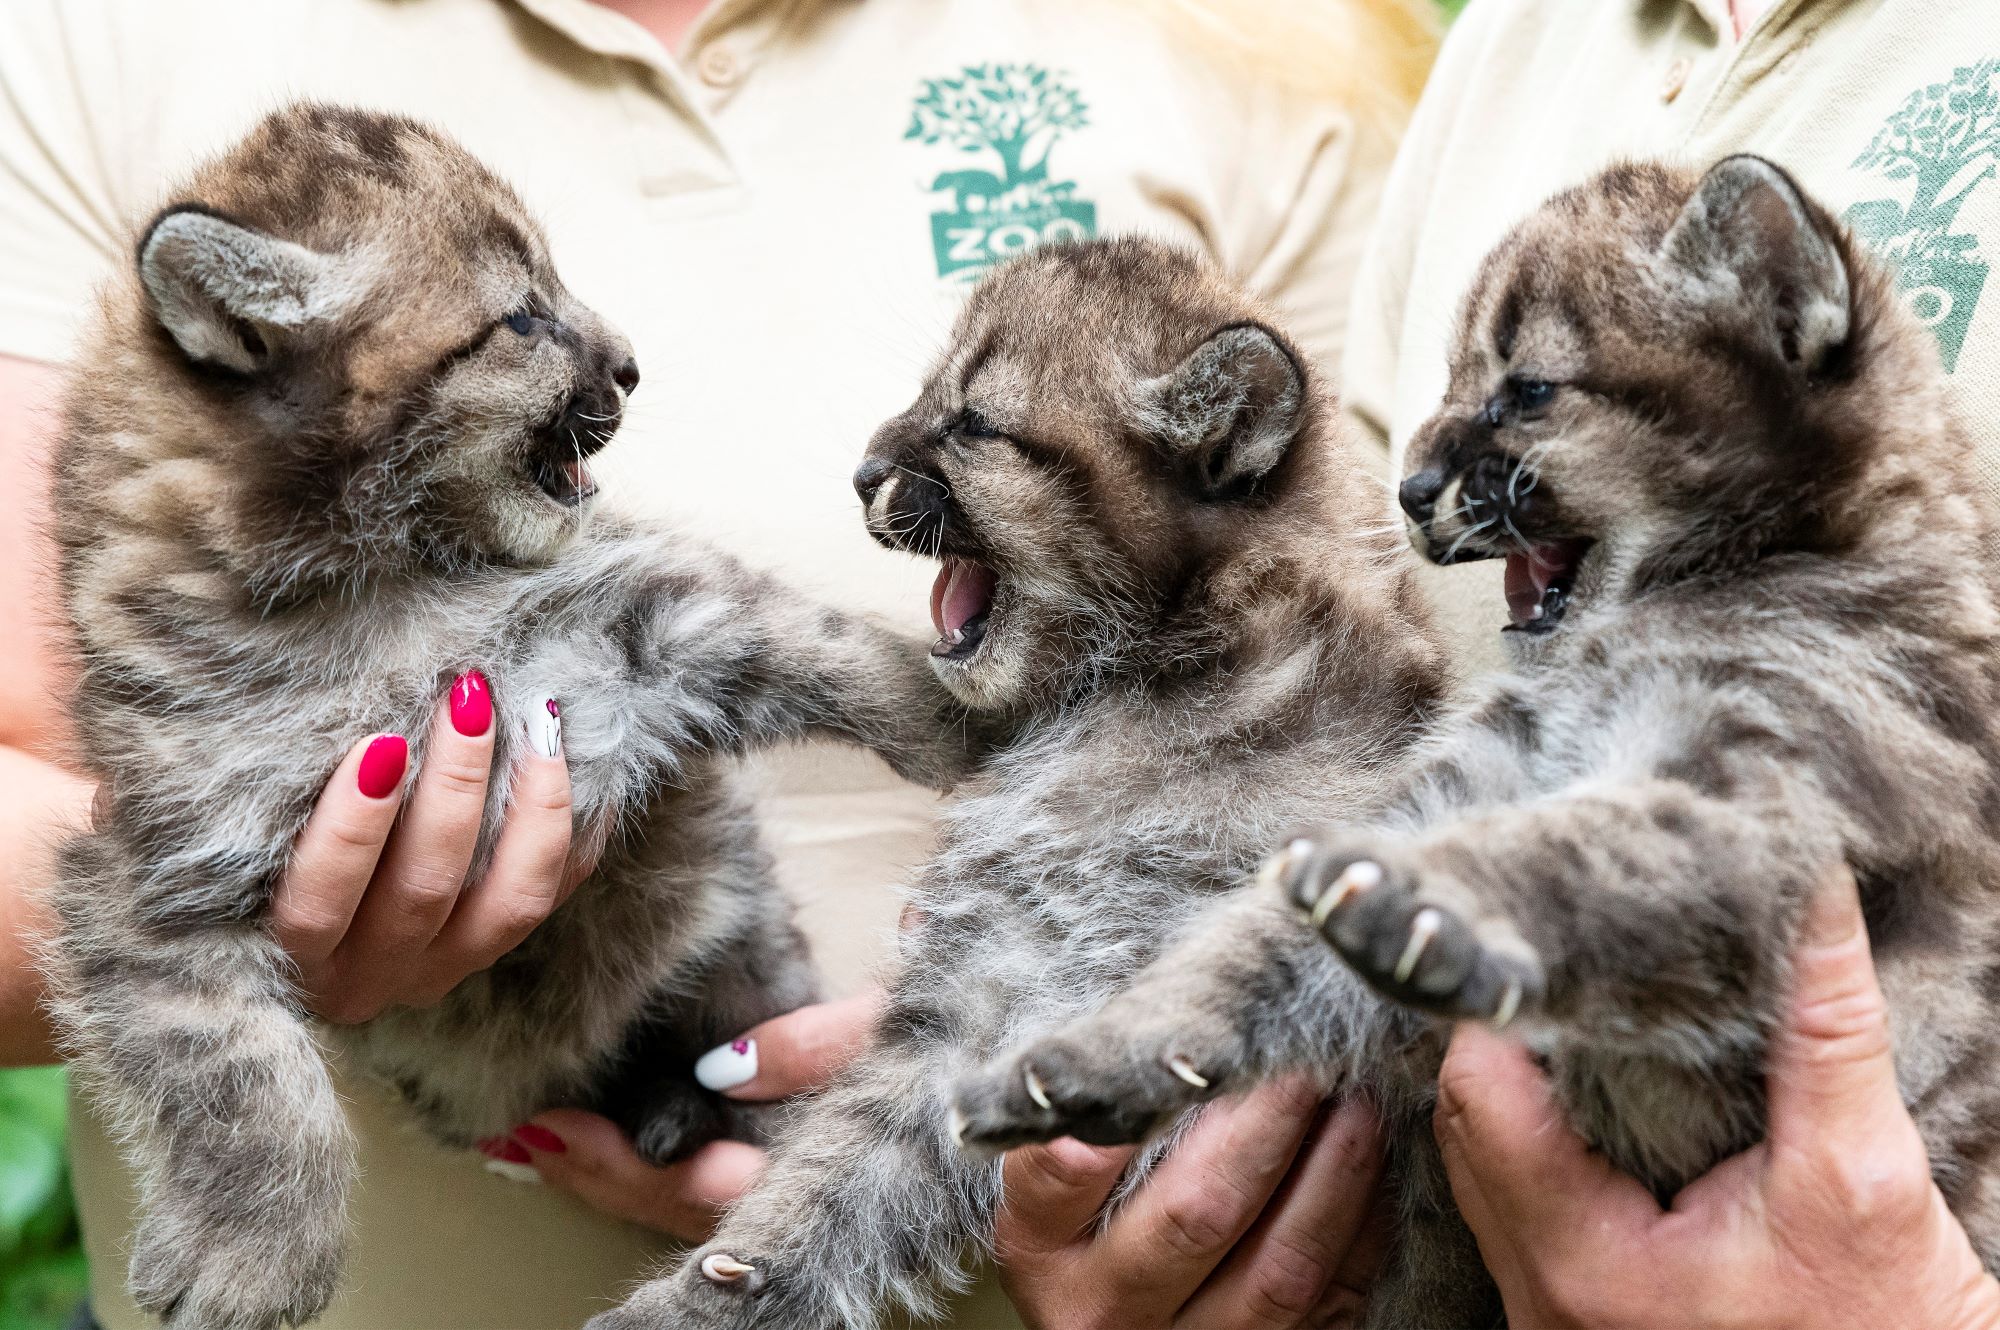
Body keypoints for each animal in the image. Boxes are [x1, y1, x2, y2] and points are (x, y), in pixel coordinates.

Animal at [47, 106, 984, 1328]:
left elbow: (823, 638)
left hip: (733, 928)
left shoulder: (646, 626)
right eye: (523, 317)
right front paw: (250, 1256)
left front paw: (984, 717)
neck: (380, 582)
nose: (630, 363)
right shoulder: (150, 877)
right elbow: (236, 1072)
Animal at [592, 239, 1456, 1328]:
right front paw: (705, 1293)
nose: (860, 473)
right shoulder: (986, 987)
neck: (1139, 686)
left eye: (972, 424)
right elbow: (839, 1168)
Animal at [952, 156, 2000, 1320]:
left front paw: (1426, 908)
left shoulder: (1771, 793)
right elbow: (1256, 943)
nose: (1410, 493)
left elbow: (1585, 847)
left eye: (1527, 391)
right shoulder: (1466, 779)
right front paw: (1102, 1051)